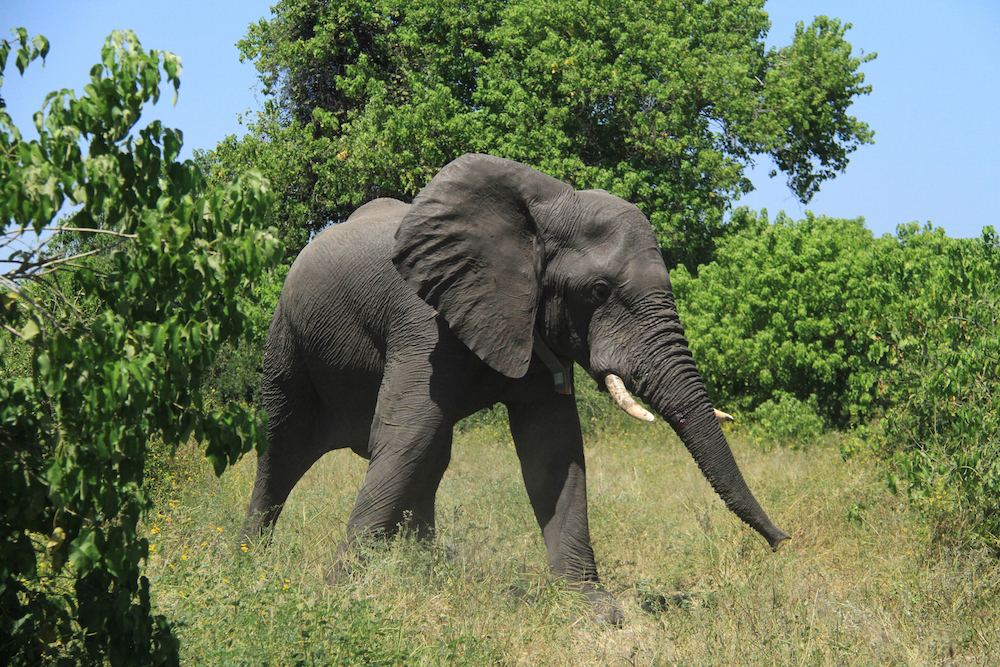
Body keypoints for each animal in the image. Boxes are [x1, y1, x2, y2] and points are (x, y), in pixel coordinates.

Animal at [242, 154, 788, 624]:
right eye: (599, 292)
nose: (783, 543)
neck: (545, 211)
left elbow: (554, 450)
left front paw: (596, 609)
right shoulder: (423, 320)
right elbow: (402, 435)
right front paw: (338, 595)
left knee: (432, 456)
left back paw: (424, 569)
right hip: (287, 337)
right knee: (284, 445)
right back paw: (248, 560)